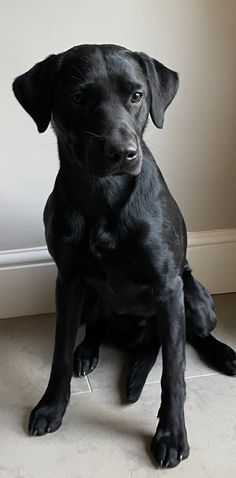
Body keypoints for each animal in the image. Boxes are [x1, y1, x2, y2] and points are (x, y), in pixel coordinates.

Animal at [12, 44, 236, 466]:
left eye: (136, 95)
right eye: (77, 97)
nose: (123, 153)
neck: (104, 197)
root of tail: (142, 338)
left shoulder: (168, 288)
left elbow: (174, 372)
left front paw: (171, 434)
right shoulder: (68, 281)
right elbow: (59, 352)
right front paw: (52, 405)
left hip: (193, 296)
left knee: (192, 336)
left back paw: (223, 354)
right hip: (90, 300)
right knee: (96, 329)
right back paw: (87, 351)